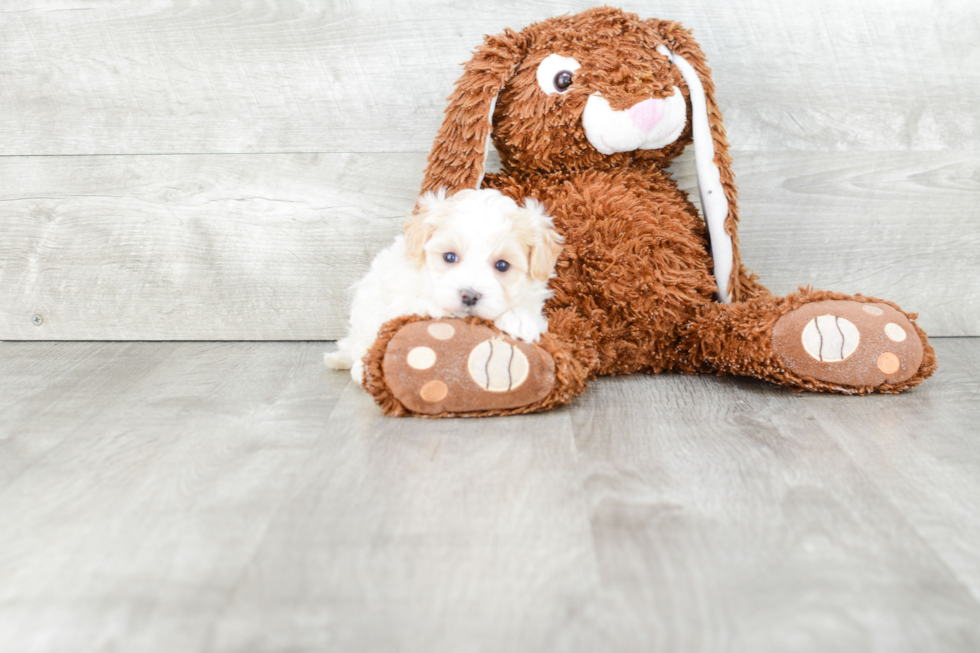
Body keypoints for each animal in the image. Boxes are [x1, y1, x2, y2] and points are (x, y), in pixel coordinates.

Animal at [326, 187, 564, 382]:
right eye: (449, 257)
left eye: (502, 265)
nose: (469, 295)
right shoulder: (397, 291)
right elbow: (416, 302)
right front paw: (437, 307)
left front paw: (521, 321)